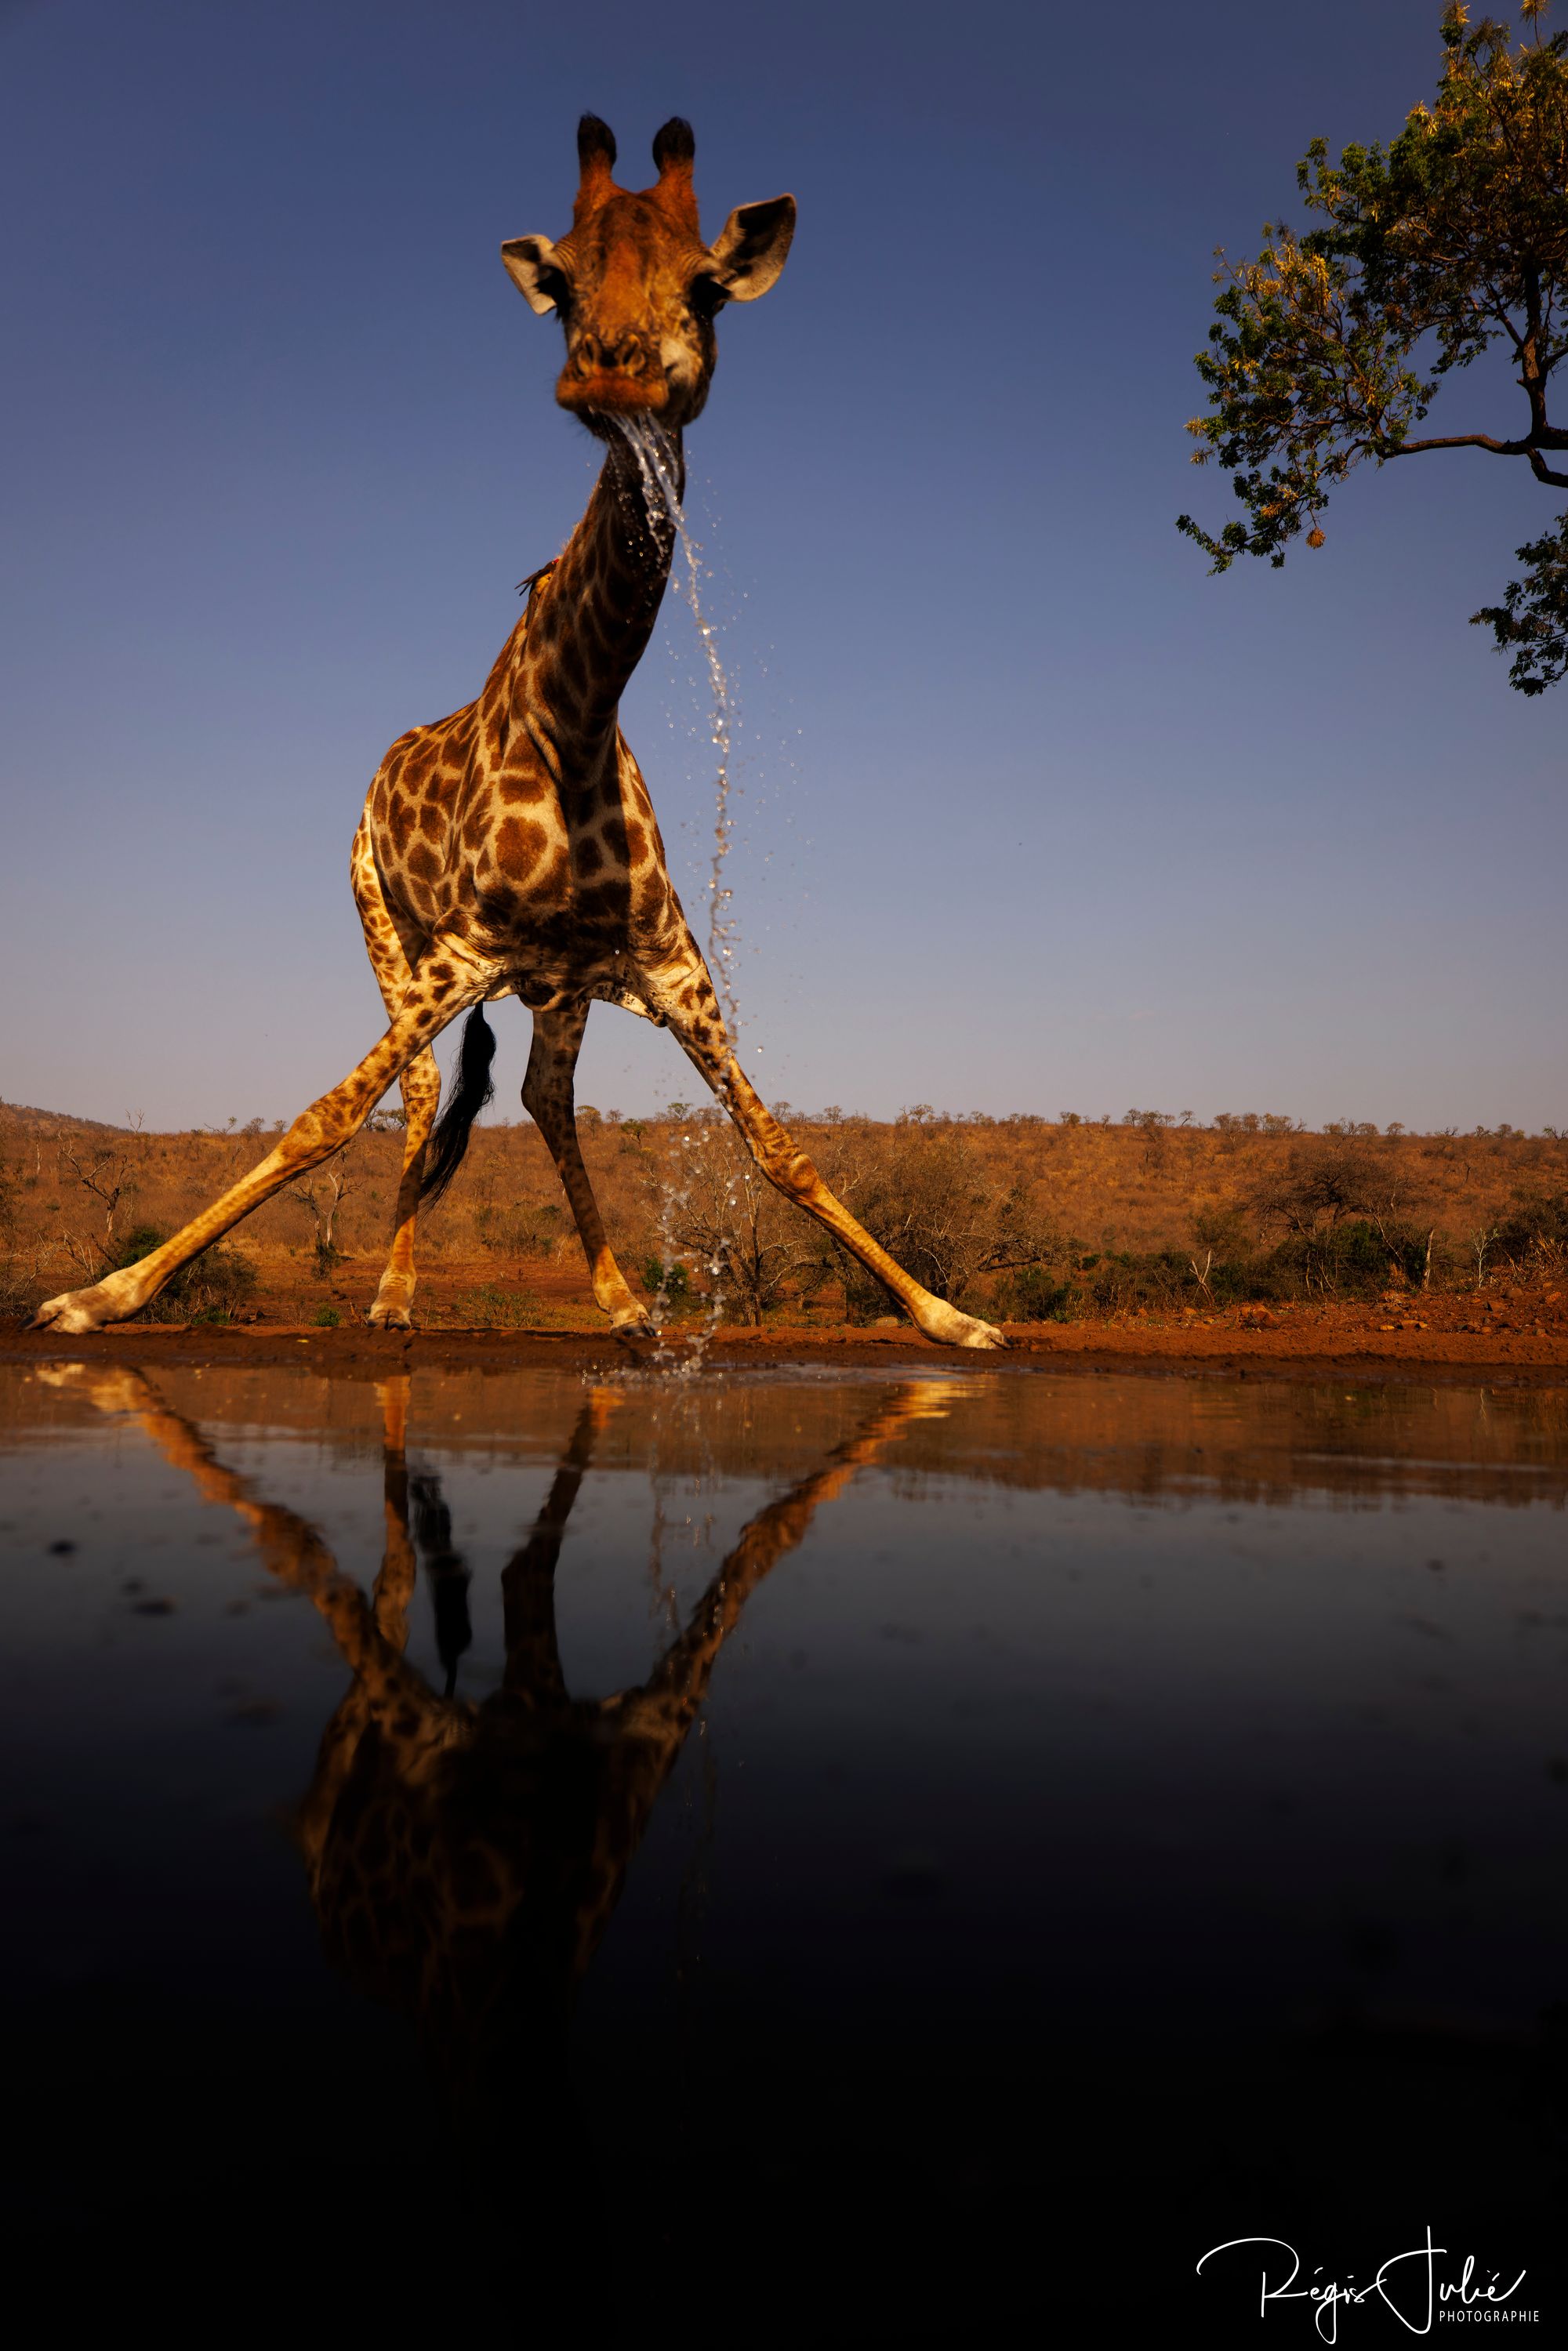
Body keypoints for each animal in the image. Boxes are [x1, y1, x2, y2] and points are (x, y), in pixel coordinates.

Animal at [34, 119, 1006, 1354]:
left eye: (706, 286)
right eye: (564, 292)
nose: (610, 370)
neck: (579, 721)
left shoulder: (670, 964)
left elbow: (777, 1145)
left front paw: (949, 1315)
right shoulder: (463, 950)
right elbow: (320, 1116)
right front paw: (99, 1294)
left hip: (563, 984)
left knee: (542, 1095)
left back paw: (623, 1303)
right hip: (387, 932)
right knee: (413, 1104)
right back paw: (393, 1297)